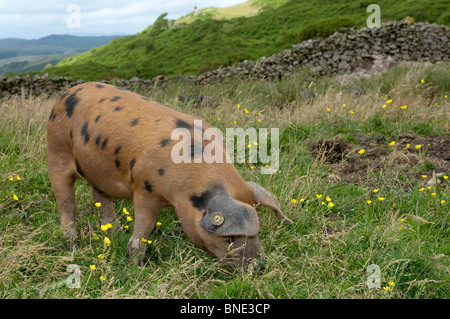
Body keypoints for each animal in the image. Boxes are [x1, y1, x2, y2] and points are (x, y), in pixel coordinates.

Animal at [46, 81, 292, 268]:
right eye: (230, 238)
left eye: (257, 231)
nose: (259, 267)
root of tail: (66, 94)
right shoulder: (145, 189)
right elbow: (144, 228)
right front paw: (137, 264)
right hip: (56, 151)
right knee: (65, 200)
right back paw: (72, 242)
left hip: (100, 172)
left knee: (99, 197)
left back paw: (114, 233)